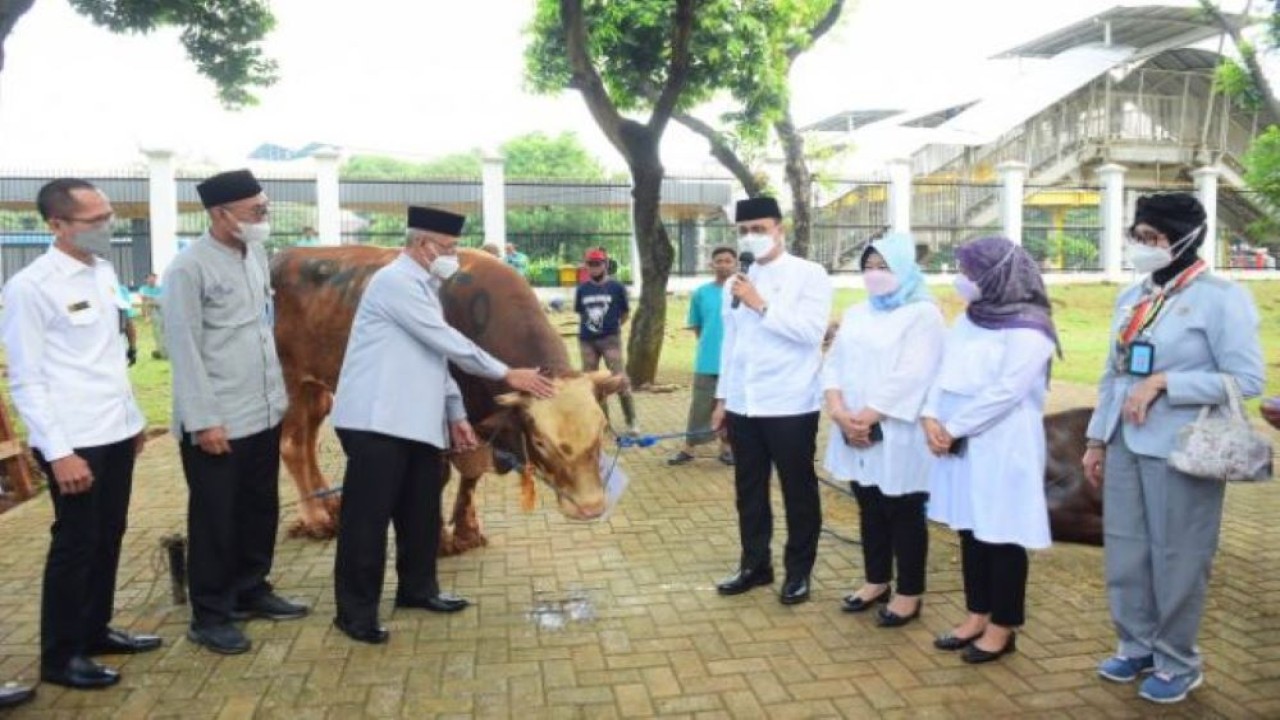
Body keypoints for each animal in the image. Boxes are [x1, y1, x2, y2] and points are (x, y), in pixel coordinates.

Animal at [270, 243, 619, 550]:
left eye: (601, 431)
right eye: (540, 441)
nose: (590, 507)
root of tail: (282, 256)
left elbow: (471, 474)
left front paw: (467, 531)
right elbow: (439, 475)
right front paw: (438, 540)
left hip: (317, 390)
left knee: (309, 441)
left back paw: (328, 504)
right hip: (290, 381)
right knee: (292, 447)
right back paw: (316, 519)